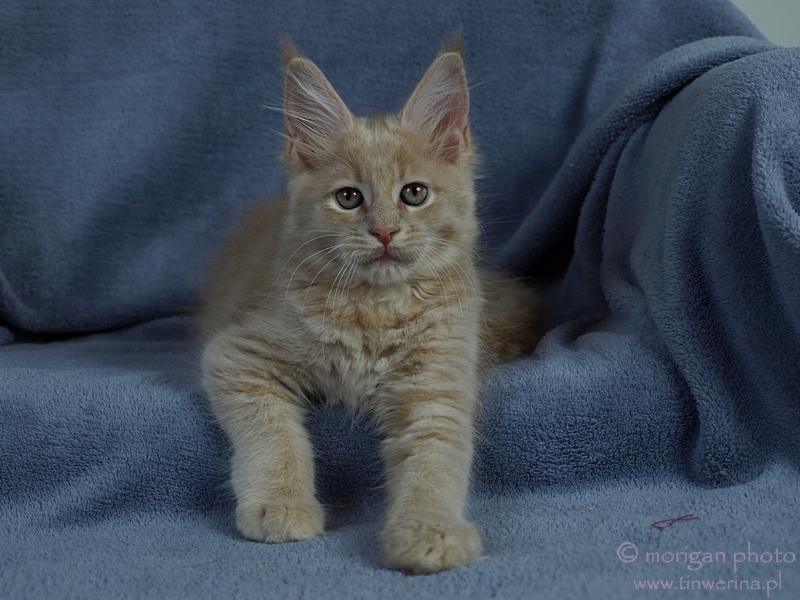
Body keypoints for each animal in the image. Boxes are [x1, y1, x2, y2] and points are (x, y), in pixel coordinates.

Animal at [198, 38, 544, 576]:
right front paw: (280, 504)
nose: (383, 231)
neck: (376, 310)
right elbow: (273, 435)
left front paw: (430, 531)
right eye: (348, 198)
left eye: (414, 193)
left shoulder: (437, 387)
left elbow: (434, 463)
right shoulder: (237, 354)